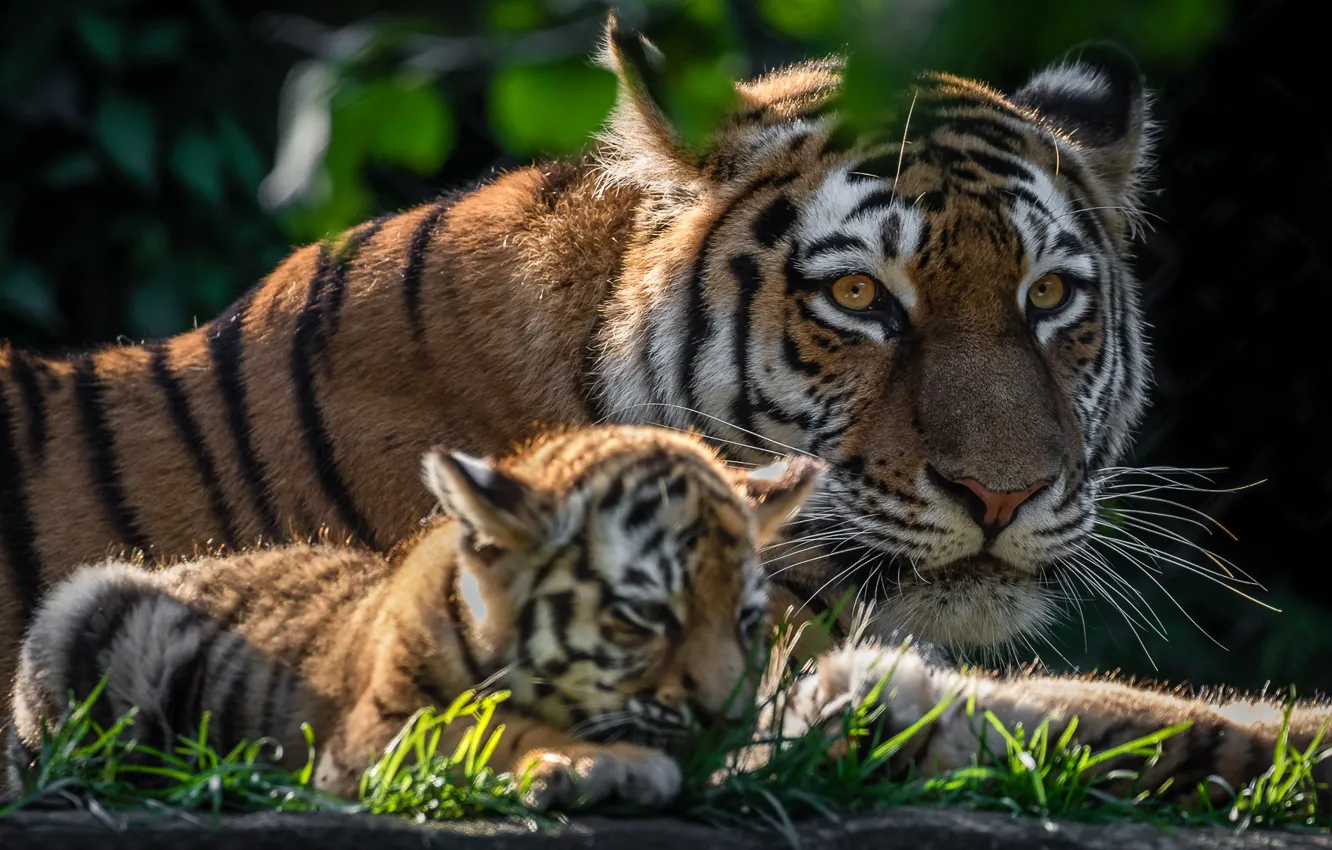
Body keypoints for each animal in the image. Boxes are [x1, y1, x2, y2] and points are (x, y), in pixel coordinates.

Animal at [8, 425, 822, 805]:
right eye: (646, 615)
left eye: (747, 621)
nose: (723, 720)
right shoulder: (373, 736)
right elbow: (484, 727)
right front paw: (601, 764)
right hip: (82, 610)